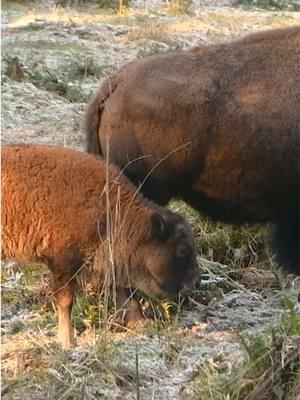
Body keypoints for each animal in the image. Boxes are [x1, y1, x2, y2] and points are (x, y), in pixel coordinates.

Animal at [2, 145, 200, 348]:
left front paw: (141, 323)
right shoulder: (62, 263)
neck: (110, 210)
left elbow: (123, 293)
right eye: (183, 249)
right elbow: (66, 302)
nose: (196, 282)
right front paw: (68, 342)